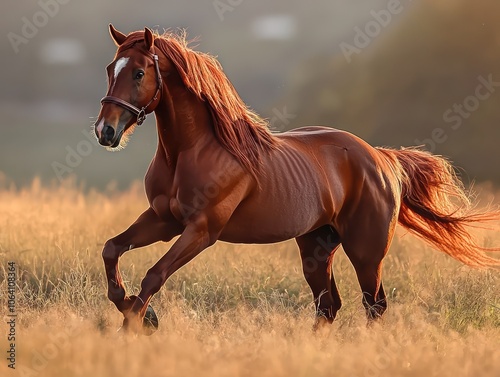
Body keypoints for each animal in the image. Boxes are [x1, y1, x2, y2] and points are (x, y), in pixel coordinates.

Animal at [95, 25, 498, 334]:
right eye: (110, 68)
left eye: (139, 73)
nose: (105, 131)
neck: (192, 151)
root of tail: (382, 158)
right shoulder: (164, 220)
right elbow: (112, 249)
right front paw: (138, 311)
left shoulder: (201, 229)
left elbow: (154, 274)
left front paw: (136, 322)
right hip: (316, 247)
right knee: (328, 307)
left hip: (366, 251)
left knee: (373, 305)